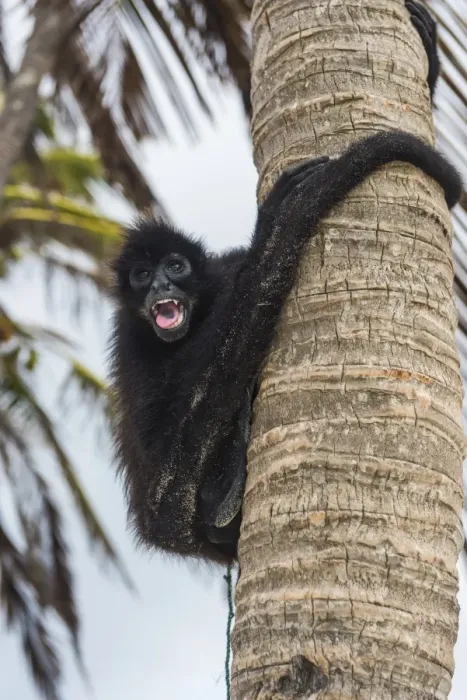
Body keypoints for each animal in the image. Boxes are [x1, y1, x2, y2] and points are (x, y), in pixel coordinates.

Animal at [109, 2, 461, 564]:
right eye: (142, 276)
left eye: (175, 267)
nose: (161, 286)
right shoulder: (132, 338)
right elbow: (164, 455)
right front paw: (274, 218)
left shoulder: (219, 272)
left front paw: (428, 59)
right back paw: (225, 494)